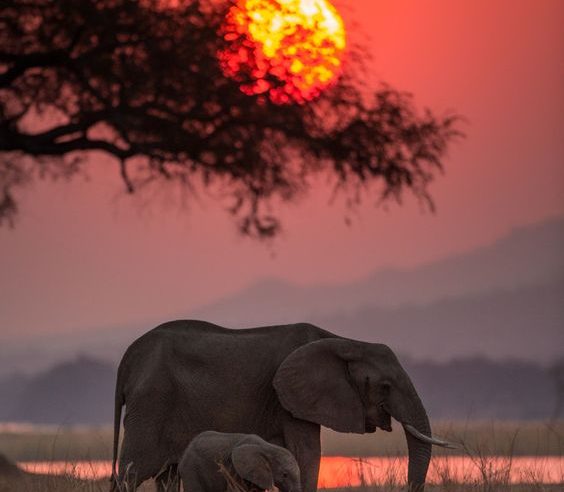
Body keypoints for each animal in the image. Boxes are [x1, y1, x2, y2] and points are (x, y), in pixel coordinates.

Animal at [111, 320, 454, 490]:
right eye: (384, 386)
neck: (345, 341)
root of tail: (127, 360)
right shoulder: (290, 399)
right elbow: (307, 453)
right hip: (152, 403)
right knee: (130, 472)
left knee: (166, 477)